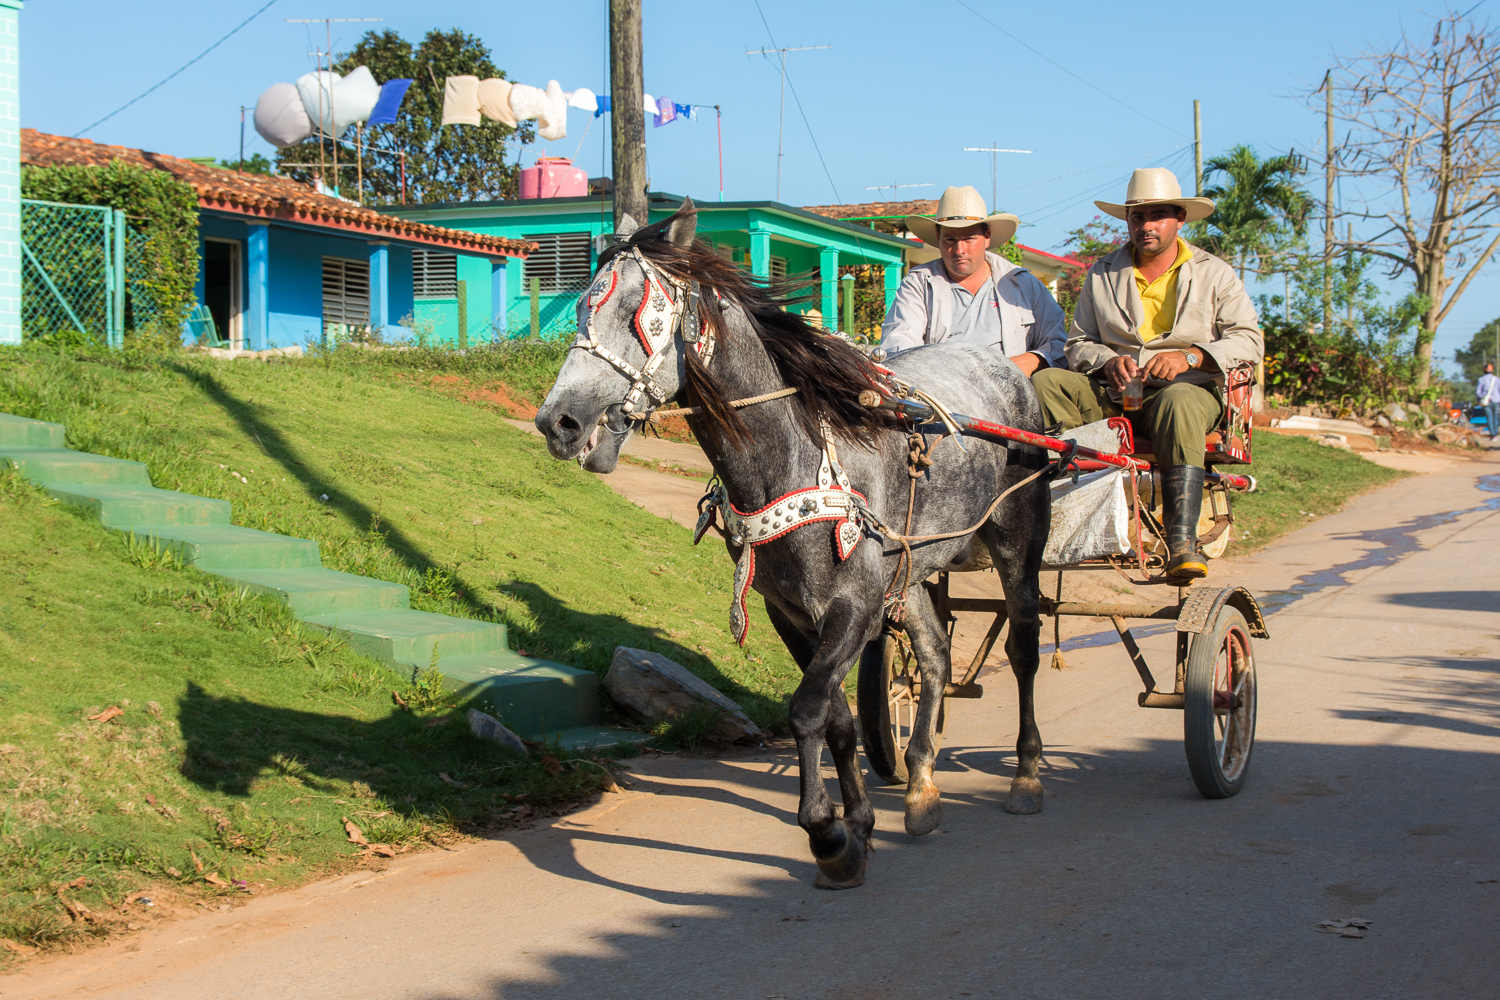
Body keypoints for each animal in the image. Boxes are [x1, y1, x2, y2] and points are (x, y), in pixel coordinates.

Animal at [534, 199, 1050, 887]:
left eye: (636, 313)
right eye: (581, 308)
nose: (557, 422)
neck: (796, 455)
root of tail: (1002, 369)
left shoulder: (852, 609)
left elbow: (807, 709)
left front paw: (827, 833)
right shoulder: (792, 612)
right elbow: (837, 718)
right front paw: (858, 825)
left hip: (1018, 544)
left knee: (1023, 650)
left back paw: (1026, 775)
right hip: (909, 570)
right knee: (936, 657)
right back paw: (919, 785)